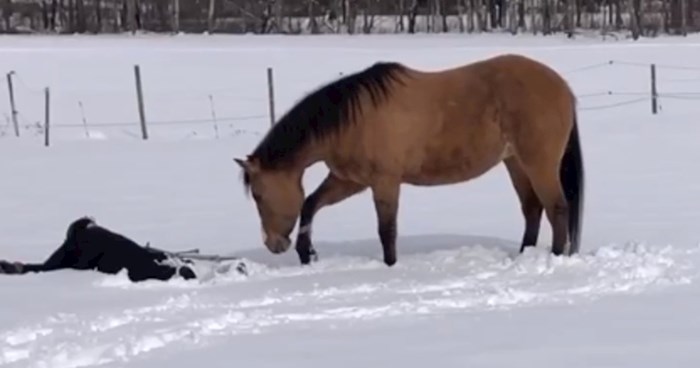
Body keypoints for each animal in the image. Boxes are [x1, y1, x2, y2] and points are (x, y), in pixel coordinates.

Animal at [235, 54, 584, 268]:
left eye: (259, 195)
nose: (273, 244)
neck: (354, 119)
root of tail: (563, 87)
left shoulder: (385, 182)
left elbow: (386, 229)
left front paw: (390, 266)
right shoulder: (350, 180)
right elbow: (309, 204)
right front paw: (306, 253)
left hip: (538, 163)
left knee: (556, 208)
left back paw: (554, 257)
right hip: (515, 163)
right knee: (532, 208)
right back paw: (524, 255)